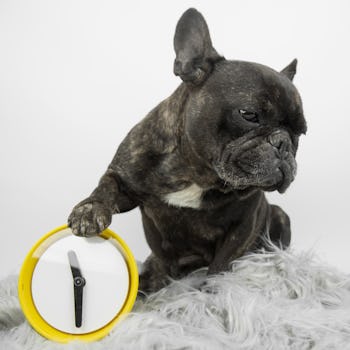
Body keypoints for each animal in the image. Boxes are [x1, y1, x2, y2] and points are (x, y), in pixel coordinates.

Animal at [67, 8, 306, 292]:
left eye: (301, 132)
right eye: (249, 115)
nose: (284, 143)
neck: (197, 171)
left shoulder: (246, 219)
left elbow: (222, 263)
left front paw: (211, 294)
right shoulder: (125, 181)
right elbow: (106, 186)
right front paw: (89, 211)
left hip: (280, 216)